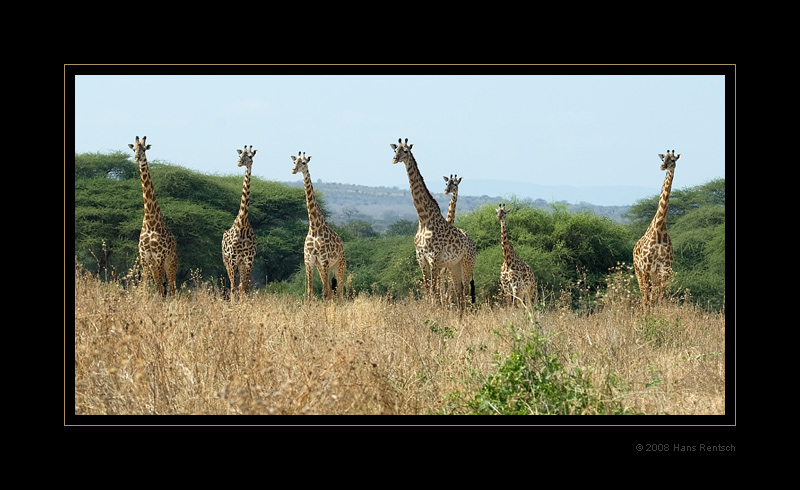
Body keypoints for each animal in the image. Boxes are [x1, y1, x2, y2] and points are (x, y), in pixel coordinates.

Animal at [127, 134, 177, 296]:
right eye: (134, 149)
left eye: (144, 149)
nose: (137, 158)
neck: (150, 221)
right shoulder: (144, 257)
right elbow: (146, 285)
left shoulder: (159, 256)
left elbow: (161, 288)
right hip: (155, 264)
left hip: (171, 263)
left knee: (172, 287)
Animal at [290, 151, 346, 300]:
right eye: (294, 162)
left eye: (304, 163)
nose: (293, 170)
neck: (315, 227)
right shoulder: (309, 261)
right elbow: (310, 292)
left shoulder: (324, 260)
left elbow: (325, 292)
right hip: (321, 267)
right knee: (331, 291)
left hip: (339, 265)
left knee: (340, 292)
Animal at [390, 138, 476, 308]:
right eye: (395, 150)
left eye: (406, 151)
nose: (395, 159)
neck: (424, 219)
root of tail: (473, 244)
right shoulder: (421, 258)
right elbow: (428, 289)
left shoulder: (434, 259)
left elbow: (436, 292)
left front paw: (436, 311)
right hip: (454, 266)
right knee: (459, 292)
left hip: (466, 264)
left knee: (465, 292)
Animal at [636, 149, 680, 312]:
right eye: (663, 158)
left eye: (673, 160)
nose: (663, 166)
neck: (660, 230)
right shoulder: (647, 267)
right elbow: (649, 298)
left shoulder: (665, 268)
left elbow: (660, 298)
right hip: (638, 270)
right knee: (644, 296)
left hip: (653, 273)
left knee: (650, 296)